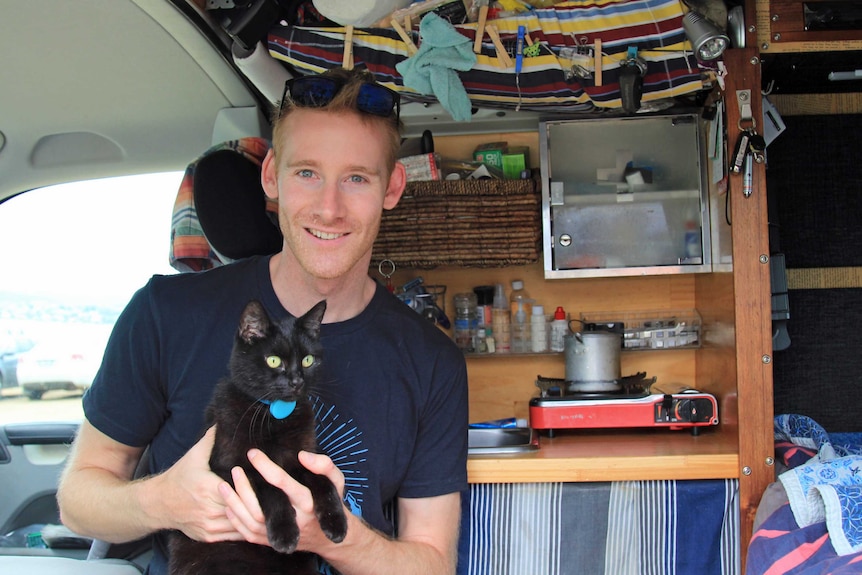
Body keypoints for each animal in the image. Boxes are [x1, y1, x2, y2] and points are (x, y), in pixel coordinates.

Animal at [170, 300, 350, 575]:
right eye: (274, 361)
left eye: (308, 360)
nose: (297, 381)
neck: (275, 415)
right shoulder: (229, 467)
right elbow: (269, 485)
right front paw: (285, 533)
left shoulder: (303, 456)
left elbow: (323, 480)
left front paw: (336, 522)